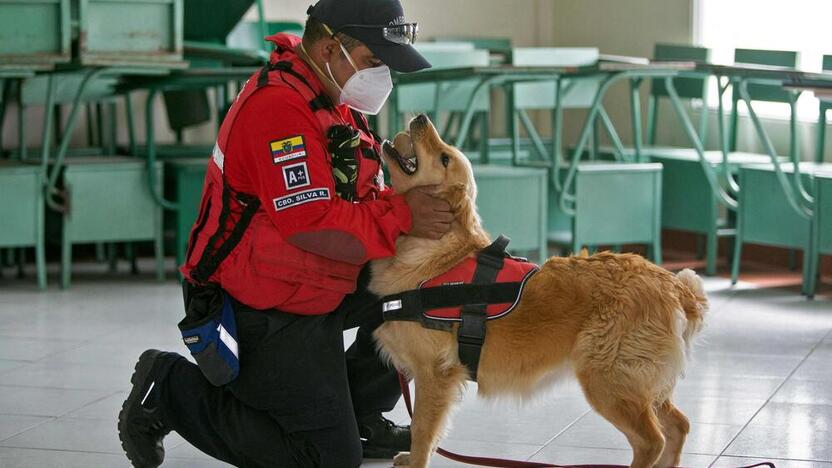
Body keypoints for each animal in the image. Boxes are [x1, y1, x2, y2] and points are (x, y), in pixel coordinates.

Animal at [370, 114, 708, 468]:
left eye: (445, 157)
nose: (421, 118)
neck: (437, 254)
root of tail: (674, 286)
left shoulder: (435, 373)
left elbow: (422, 429)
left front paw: (416, 459)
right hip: (643, 384)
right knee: (678, 425)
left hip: (608, 380)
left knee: (651, 439)